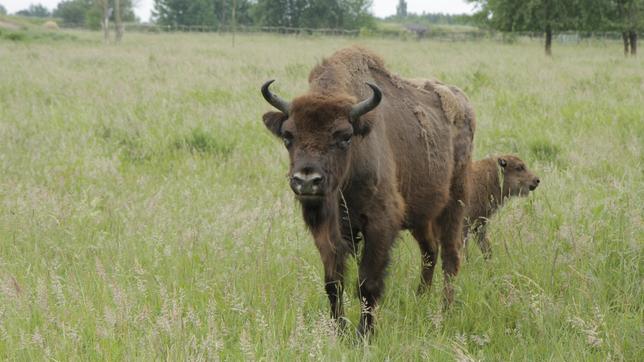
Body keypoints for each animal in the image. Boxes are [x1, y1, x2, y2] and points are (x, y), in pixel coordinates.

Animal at [260, 46, 476, 336]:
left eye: (344, 137)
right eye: (288, 136)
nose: (306, 180)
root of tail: (463, 102)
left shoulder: (380, 224)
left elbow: (367, 283)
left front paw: (364, 335)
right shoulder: (328, 230)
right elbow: (334, 282)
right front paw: (339, 330)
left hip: (455, 200)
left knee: (451, 255)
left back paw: (446, 310)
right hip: (421, 212)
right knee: (430, 250)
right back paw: (420, 298)